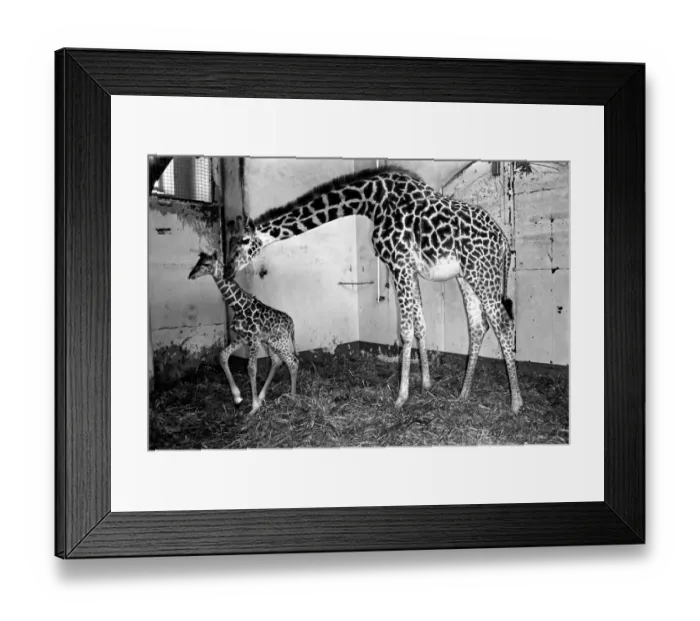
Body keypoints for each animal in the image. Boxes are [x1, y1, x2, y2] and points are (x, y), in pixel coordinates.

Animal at [188, 251, 299, 414]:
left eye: (206, 264)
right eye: (198, 261)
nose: (191, 275)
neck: (239, 306)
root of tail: (292, 324)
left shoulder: (252, 339)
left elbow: (251, 368)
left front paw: (254, 407)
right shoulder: (242, 337)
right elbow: (223, 355)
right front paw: (238, 398)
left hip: (281, 342)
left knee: (292, 362)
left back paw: (292, 399)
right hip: (270, 342)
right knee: (277, 361)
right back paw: (263, 396)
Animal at [225, 165, 523, 414]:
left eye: (243, 242)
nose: (228, 270)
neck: (371, 202)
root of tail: (504, 243)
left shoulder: (399, 263)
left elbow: (406, 329)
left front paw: (401, 397)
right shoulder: (408, 268)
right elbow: (421, 323)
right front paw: (426, 384)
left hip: (482, 273)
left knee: (503, 324)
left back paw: (516, 403)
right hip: (467, 277)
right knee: (478, 326)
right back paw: (463, 394)